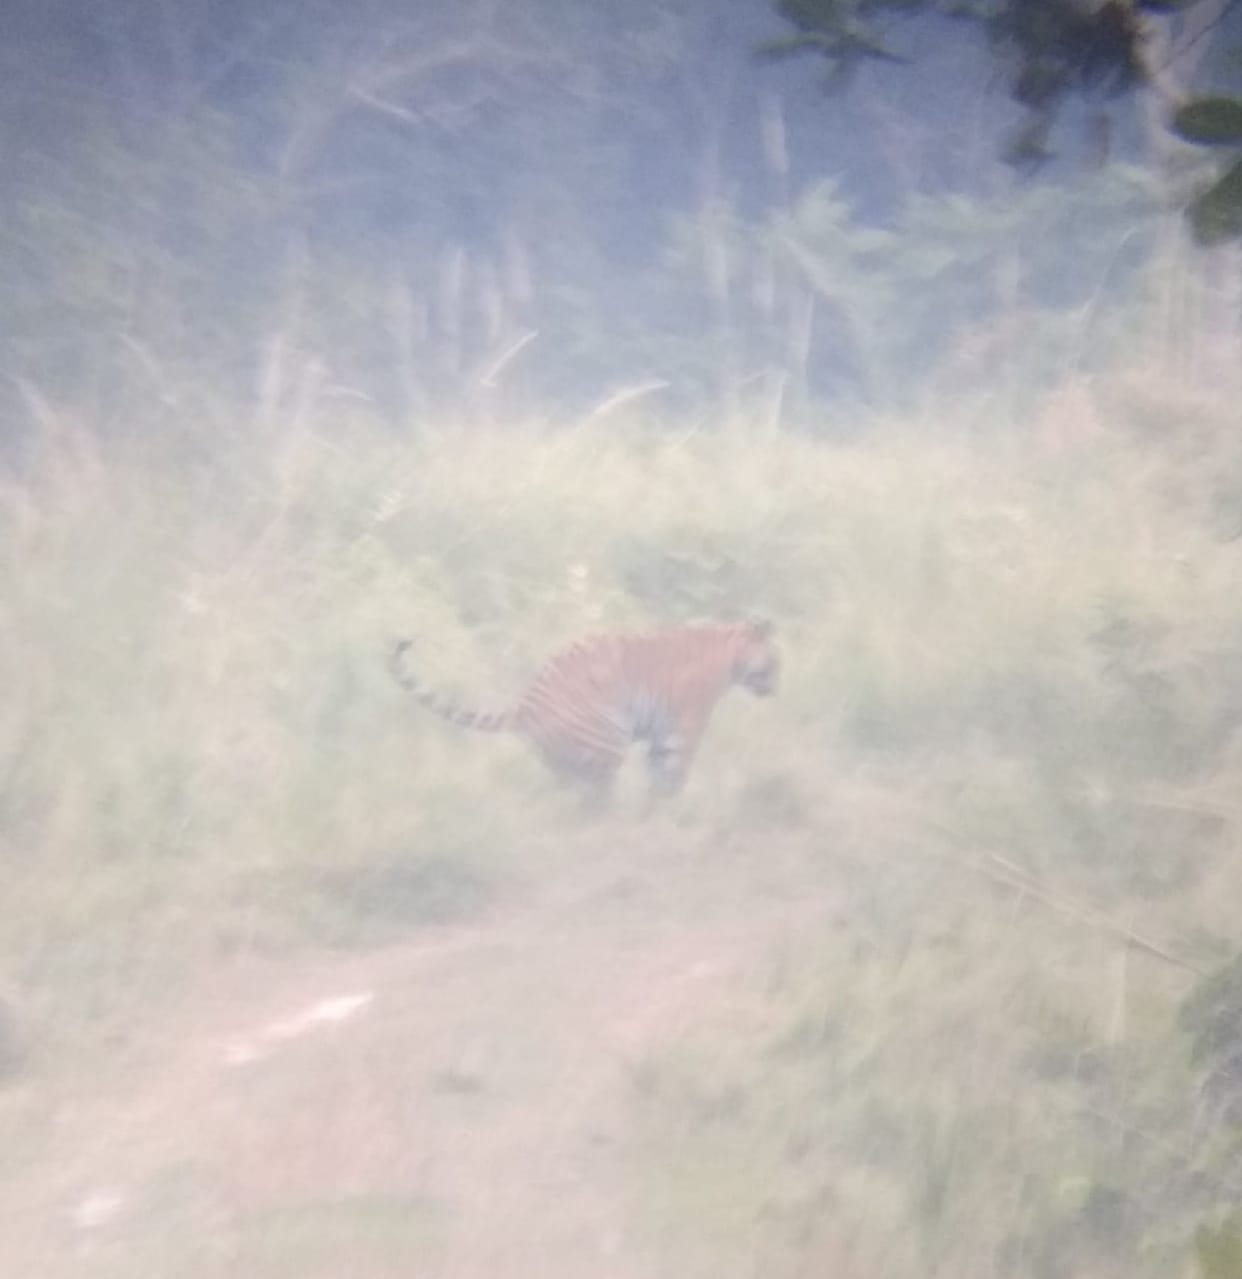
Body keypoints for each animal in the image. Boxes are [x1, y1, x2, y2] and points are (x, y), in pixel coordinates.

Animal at [387, 618, 779, 801]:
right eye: (775, 662)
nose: (776, 685)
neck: (730, 651)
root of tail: (526, 704)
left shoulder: (661, 736)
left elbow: (658, 774)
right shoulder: (684, 727)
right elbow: (674, 772)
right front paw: (672, 808)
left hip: (567, 755)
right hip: (606, 737)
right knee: (597, 800)